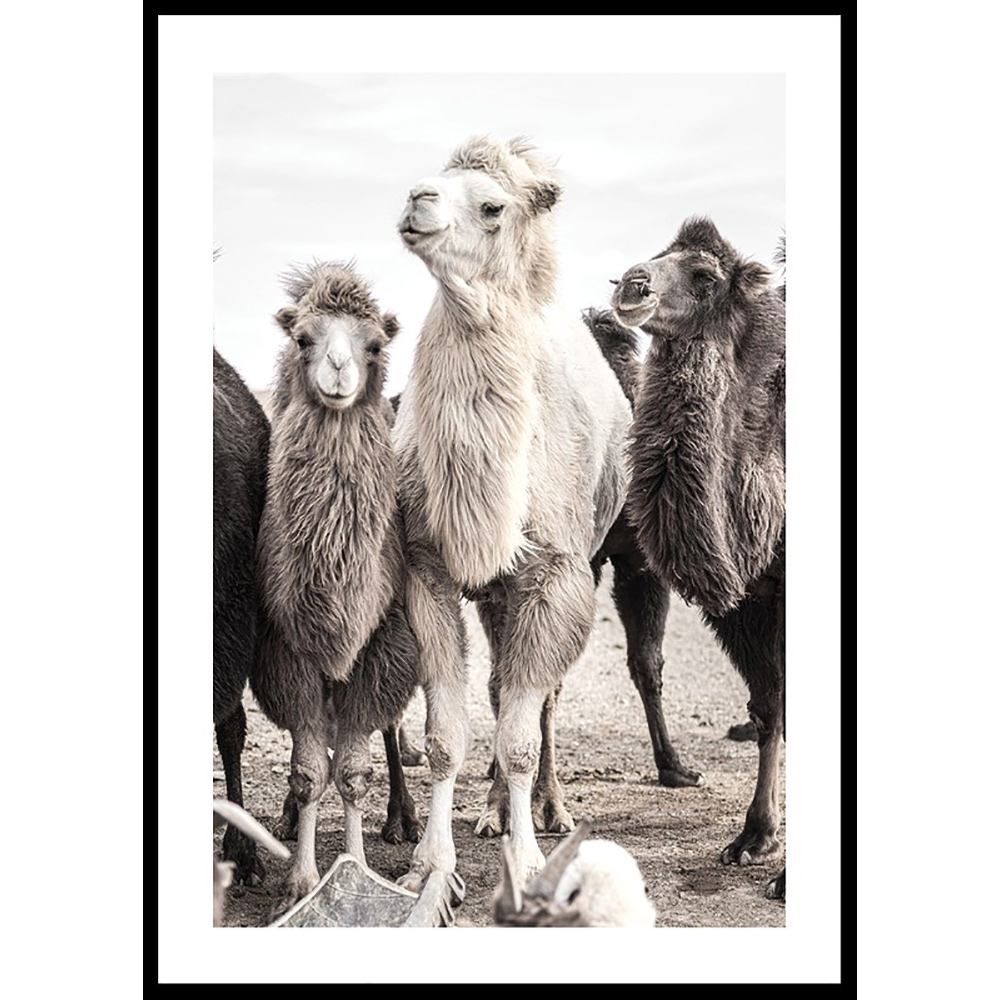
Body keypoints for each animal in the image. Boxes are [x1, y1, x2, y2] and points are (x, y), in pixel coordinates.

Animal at [250, 261, 422, 915]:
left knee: (391, 732)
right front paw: (299, 882)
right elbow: (308, 773)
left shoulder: (380, 647)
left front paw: (354, 868)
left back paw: (404, 818)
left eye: (374, 345)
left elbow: (351, 772)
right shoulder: (286, 650)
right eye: (304, 338)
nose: (340, 368)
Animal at [392, 135, 632, 890]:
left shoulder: (555, 574)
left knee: (541, 699)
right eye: (437, 181)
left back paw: (546, 810)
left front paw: (526, 865)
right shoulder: (428, 568)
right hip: (497, 591)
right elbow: (446, 735)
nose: (417, 198)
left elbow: (525, 735)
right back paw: (493, 810)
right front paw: (430, 865)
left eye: (493, 206)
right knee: (500, 687)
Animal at [611, 216, 786, 899]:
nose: (632, 284)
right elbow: (768, 707)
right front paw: (753, 838)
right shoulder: (745, 602)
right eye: (661, 254)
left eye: (706, 276)